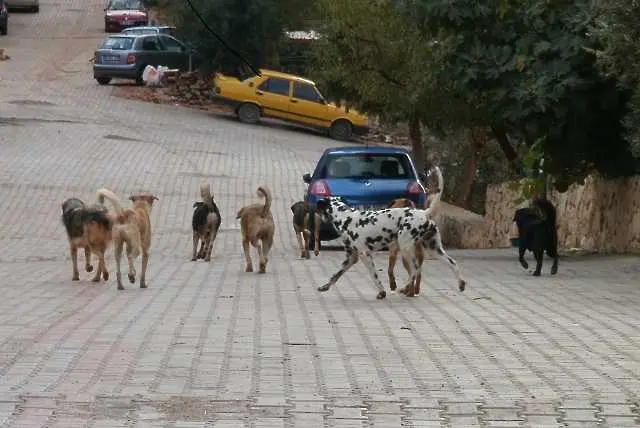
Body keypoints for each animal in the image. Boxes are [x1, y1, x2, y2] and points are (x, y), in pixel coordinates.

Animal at [316, 196, 464, 300]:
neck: (346, 218)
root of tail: (423, 213)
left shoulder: (365, 255)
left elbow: (374, 276)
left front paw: (382, 292)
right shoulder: (351, 258)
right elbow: (335, 276)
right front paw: (325, 286)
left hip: (405, 249)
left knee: (415, 270)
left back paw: (405, 288)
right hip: (434, 249)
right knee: (452, 263)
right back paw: (461, 284)